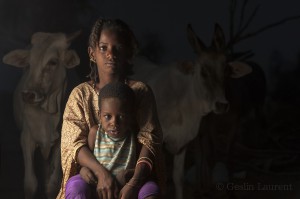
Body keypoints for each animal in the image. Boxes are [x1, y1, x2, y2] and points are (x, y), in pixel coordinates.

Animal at [1, 31, 81, 199]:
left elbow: (52, 184)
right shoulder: (26, 138)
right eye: (28, 64)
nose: (27, 95)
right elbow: (30, 183)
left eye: (53, 62)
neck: (47, 115)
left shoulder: (61, 142)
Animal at [131, 23, 251, 199]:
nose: (222, 105)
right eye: (203, 71)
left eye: (226, 71)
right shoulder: (157, 144)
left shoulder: (183, 143)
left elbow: (178, 178)